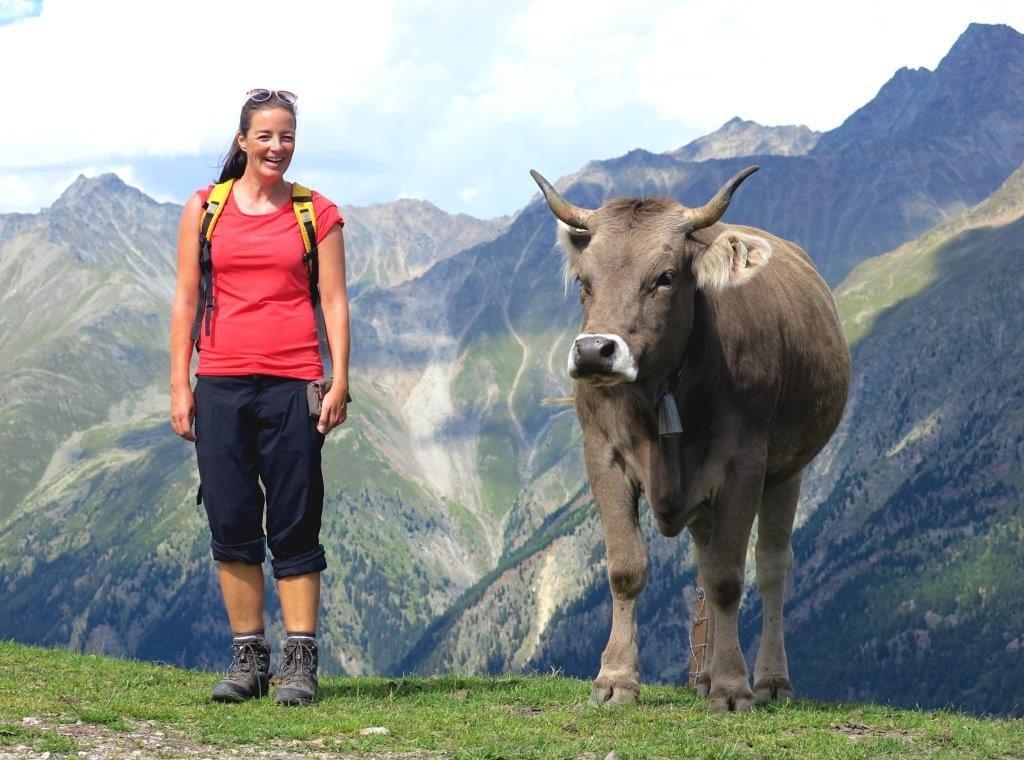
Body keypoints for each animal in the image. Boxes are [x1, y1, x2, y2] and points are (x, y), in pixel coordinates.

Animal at [530, 166, 850, 712]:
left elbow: (727, 579)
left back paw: (769, 681)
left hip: (787, 470)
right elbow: (627, 568)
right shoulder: (603, 455)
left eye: (665, 278)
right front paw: (615, 679)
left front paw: (732, 687)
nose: (595, 351)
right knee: (705, 559)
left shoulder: (744, 464)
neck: (662, 393)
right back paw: (702, 677)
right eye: (583, 281)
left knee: (770, 568)